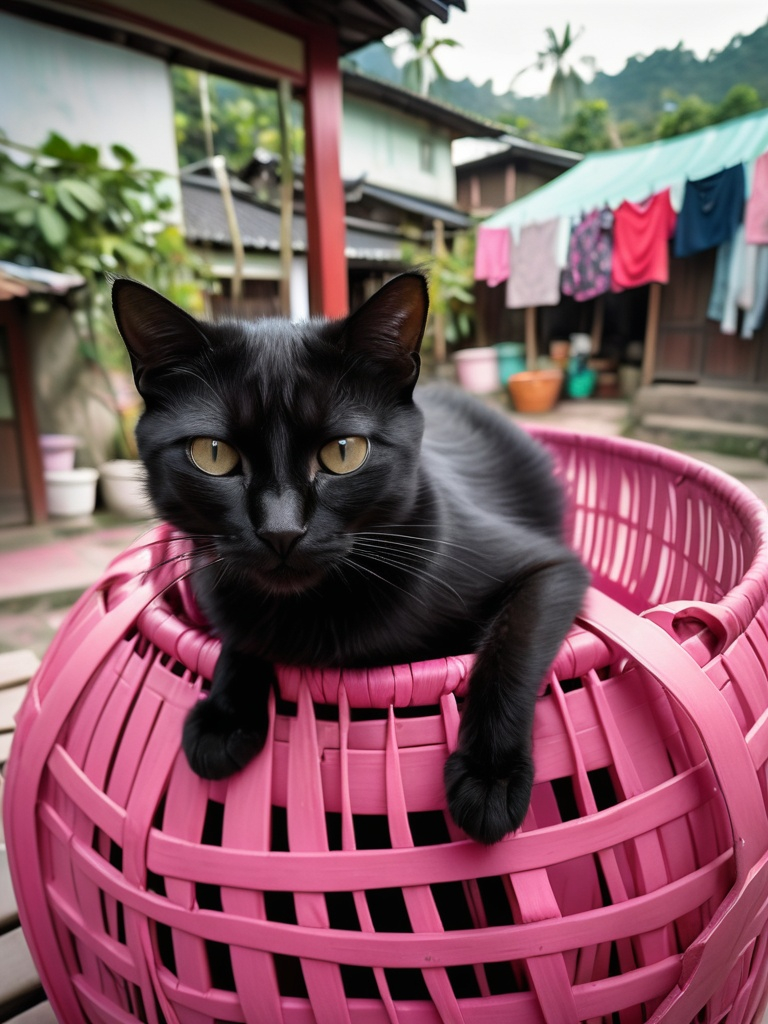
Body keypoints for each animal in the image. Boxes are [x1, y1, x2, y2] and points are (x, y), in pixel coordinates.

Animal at [111, 272, 589, 839]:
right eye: (213, 454)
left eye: (344, 452)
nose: (281, 530)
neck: (317, 610)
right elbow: (243, 628)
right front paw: (225, 715)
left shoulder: (548, 567)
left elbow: (509, 647)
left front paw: (489, 775)